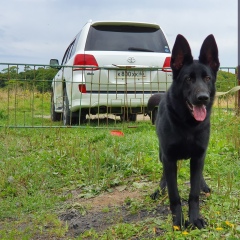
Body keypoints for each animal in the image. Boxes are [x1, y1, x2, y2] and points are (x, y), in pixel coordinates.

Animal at [151, 33, 220, 229]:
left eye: (207, 78)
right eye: (188, 79)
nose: (203, 98)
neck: (188, 126)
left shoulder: (198, 156)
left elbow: (193, 193)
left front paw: (195, 218)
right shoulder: (169, 158)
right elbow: (174, 195)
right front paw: (177, 221)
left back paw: (204, 186)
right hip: (162, 154)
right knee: (164, 175)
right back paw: (159, 189)